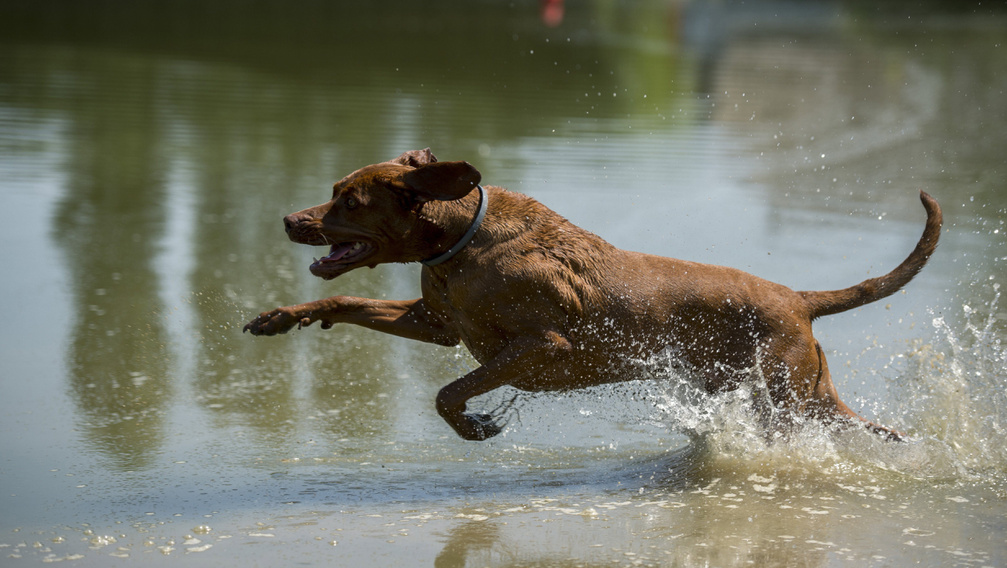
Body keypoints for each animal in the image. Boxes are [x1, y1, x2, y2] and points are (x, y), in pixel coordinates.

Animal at [245, 149, 942, 441]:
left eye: (350, 201)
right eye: (334, 192)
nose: (289, 220)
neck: (459, 245)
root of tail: (798, 298)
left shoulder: (541, 345)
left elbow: (449, 390)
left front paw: (473, 425)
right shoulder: (436, 323)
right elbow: (343, 305)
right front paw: (280, 317)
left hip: (787, 394)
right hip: (798, 392)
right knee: (873, 427)